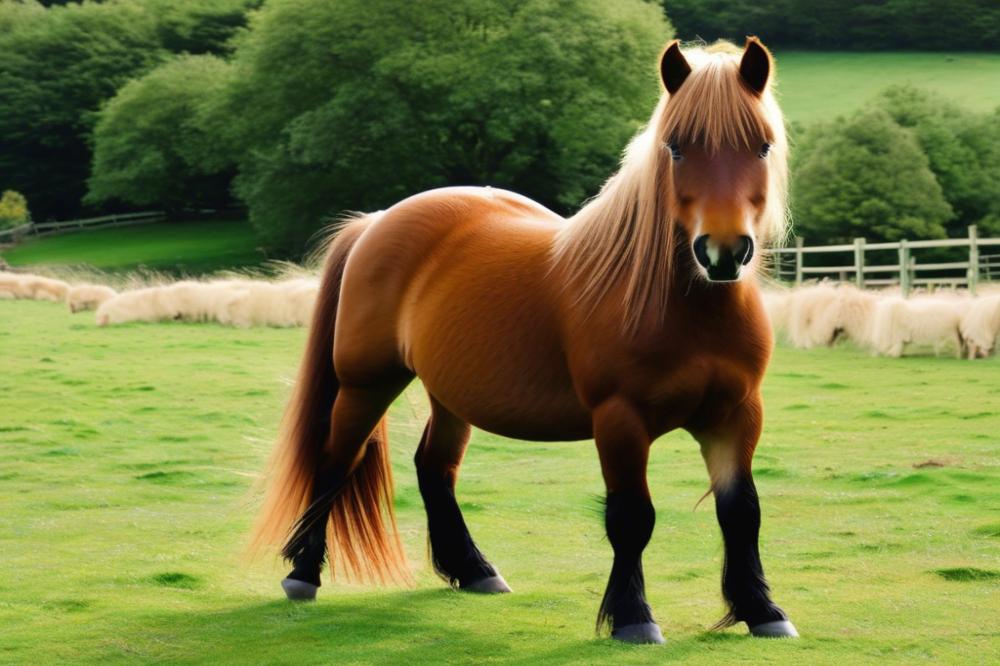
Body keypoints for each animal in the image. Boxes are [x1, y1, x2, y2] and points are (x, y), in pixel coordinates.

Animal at [256, 37, 796, 644]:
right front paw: (633, 618)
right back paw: (303, 574)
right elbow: (631, 517)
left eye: (762, 146)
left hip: (450, 394)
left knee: (434, 468)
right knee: (334, 462)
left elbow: (741, 511)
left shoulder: (736, 416)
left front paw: (762, 610)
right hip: (365, 384)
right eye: (676, 147)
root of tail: (376, 221)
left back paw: (474, 570)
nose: (723, 252)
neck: (684, 310)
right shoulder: (620, 420)